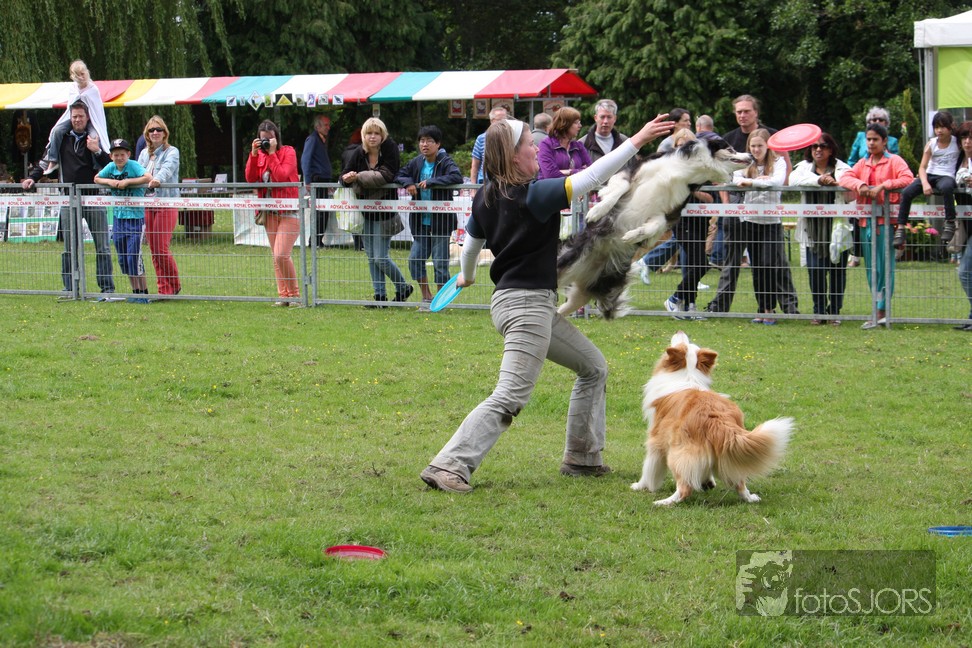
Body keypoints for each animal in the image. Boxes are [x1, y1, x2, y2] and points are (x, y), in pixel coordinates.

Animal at [556, 137, 752, 319]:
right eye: (730, 148)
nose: (750, 156)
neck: (685, 170)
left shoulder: (668, 213)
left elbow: (654, 226)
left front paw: (633, 235)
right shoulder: (629, 172)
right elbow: (619, 189)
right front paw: (597, 211)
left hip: (587, 291)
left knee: (559, 312)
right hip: (564, 261)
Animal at [630, 331, 793, 506]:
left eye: (683, 344)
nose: (680, 331)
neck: (688, 374)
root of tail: (716, 419)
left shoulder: (656, 438)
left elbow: (650, 467)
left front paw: (641, 486)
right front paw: (708, 482)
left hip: (677, 453)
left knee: (684, 488)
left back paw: (664, 502)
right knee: (740, 482)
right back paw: (750, 498)